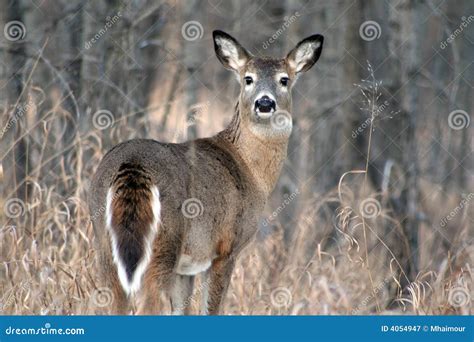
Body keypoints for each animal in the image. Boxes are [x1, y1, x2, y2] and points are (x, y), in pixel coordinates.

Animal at [89, 30, 324, 316]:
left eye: (284, 80)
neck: (251, 171)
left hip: (103, 241)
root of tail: (133, 164)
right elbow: (212, 308)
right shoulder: (226, 248)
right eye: (248, 79)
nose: (265, 102)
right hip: (164, 245)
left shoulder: (186, 268)